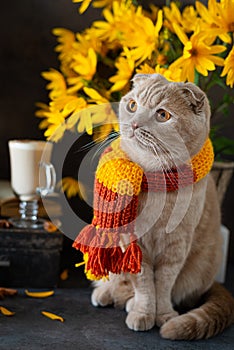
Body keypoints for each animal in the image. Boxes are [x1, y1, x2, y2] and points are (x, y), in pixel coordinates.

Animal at [90, 73, 234, 340]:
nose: (135, 124)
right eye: (132, 105)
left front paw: (164, 315)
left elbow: (164, 285)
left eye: (162, 115)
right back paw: (109, 295)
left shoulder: (176, 245)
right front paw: (143, 313)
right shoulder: (135, 242)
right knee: (120, 284)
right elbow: (145, 284)